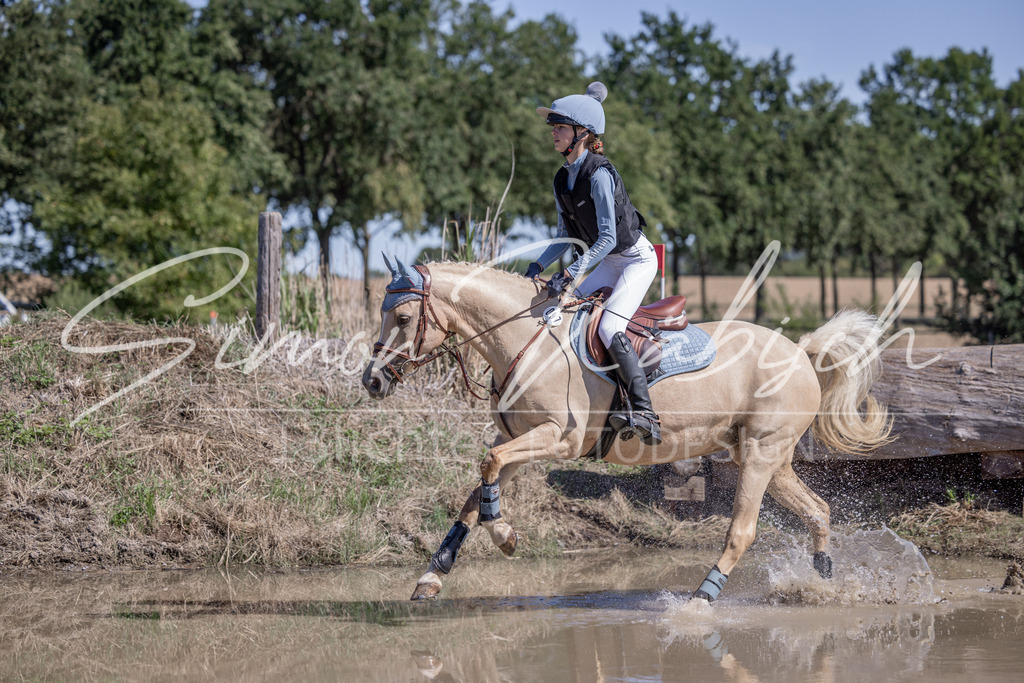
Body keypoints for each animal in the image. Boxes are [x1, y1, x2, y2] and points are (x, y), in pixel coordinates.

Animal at [362, 258, 892, 602]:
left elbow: (487, 472)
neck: (525, 340)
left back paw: (699, 602)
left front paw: (507, 537)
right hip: (762, 455)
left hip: (762, 455)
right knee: (818, 512)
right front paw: (434, 576)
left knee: (742, 531)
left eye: (403, 317)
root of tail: (801, 350)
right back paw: (823, 584)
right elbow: (478, 494)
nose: (372, 380)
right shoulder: (514, 440)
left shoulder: (559, 438)